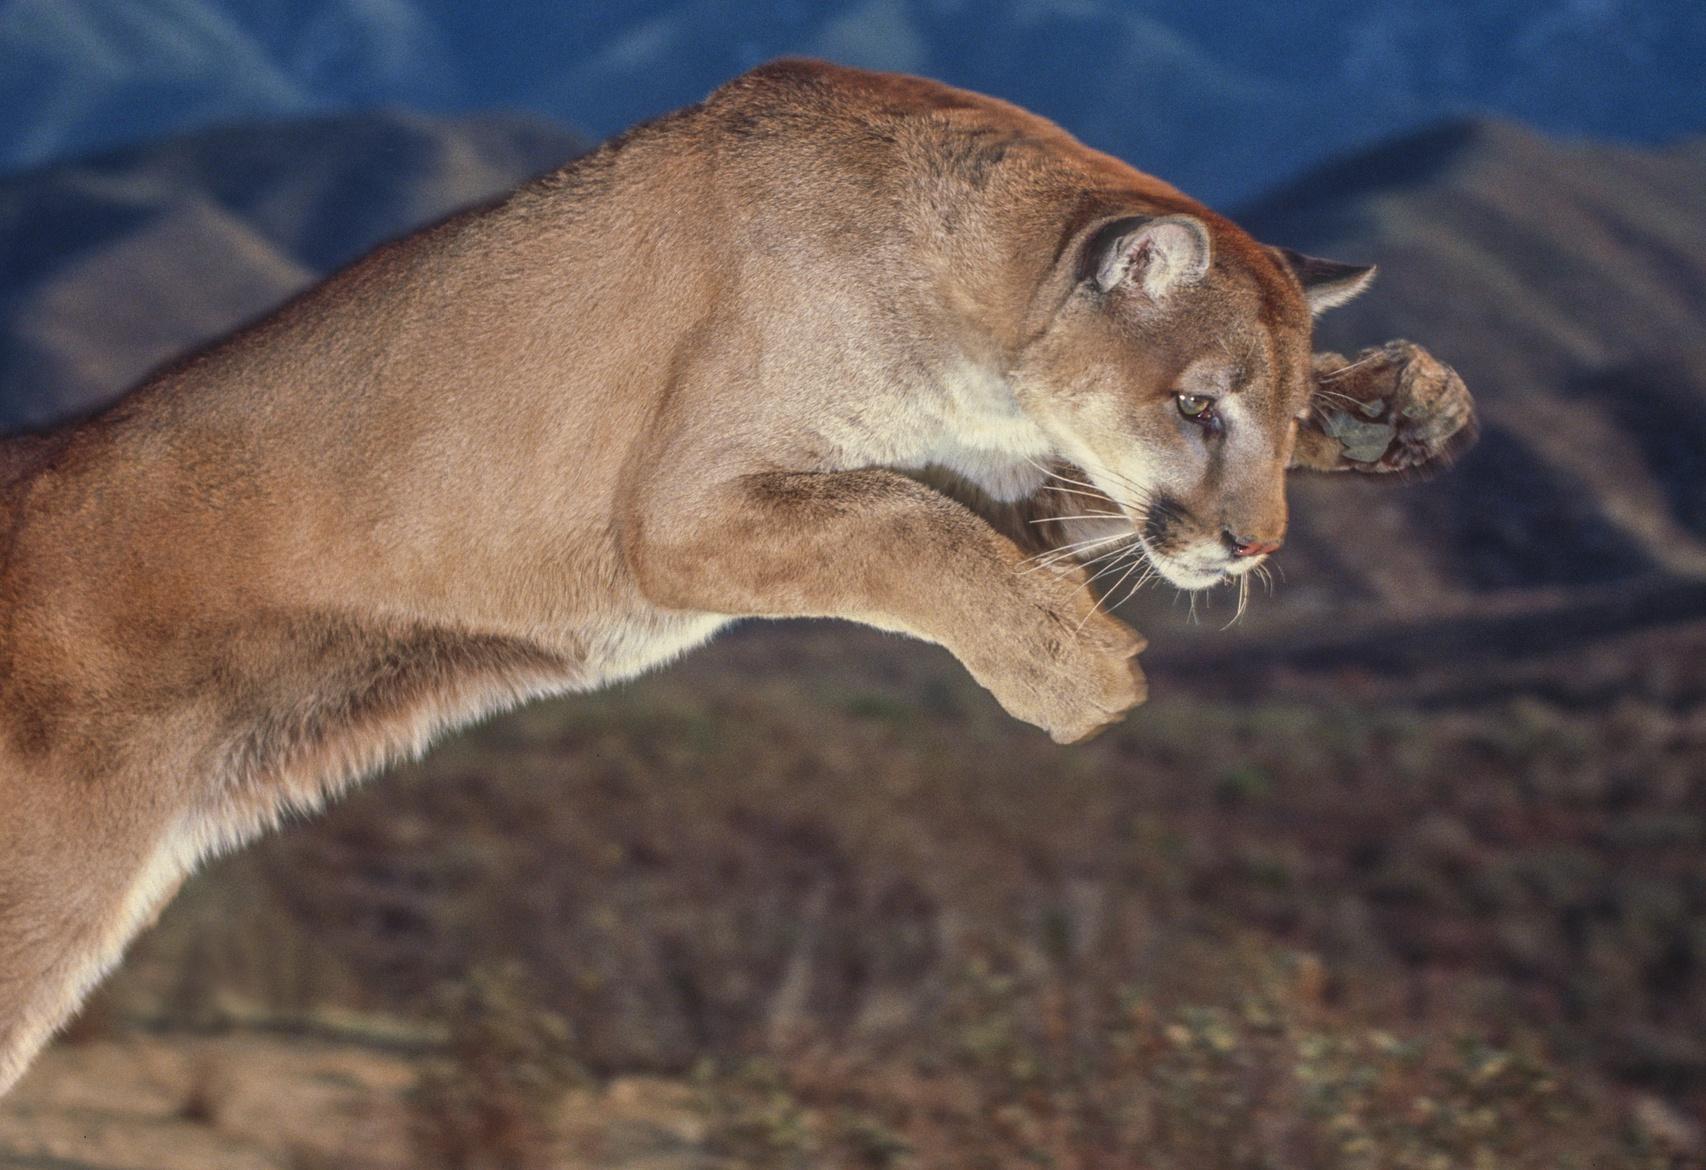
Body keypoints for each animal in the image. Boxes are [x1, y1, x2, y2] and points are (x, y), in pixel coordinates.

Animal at [0, 59, 1473, 1092]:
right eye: (1196, 406)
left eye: (1268, 414)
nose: (1251, 545)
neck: (978, 310)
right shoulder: (682, 508)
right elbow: (898, 523)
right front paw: (1069, 669)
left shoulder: (991, 471)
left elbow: (974, 504)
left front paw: (1394, 410)